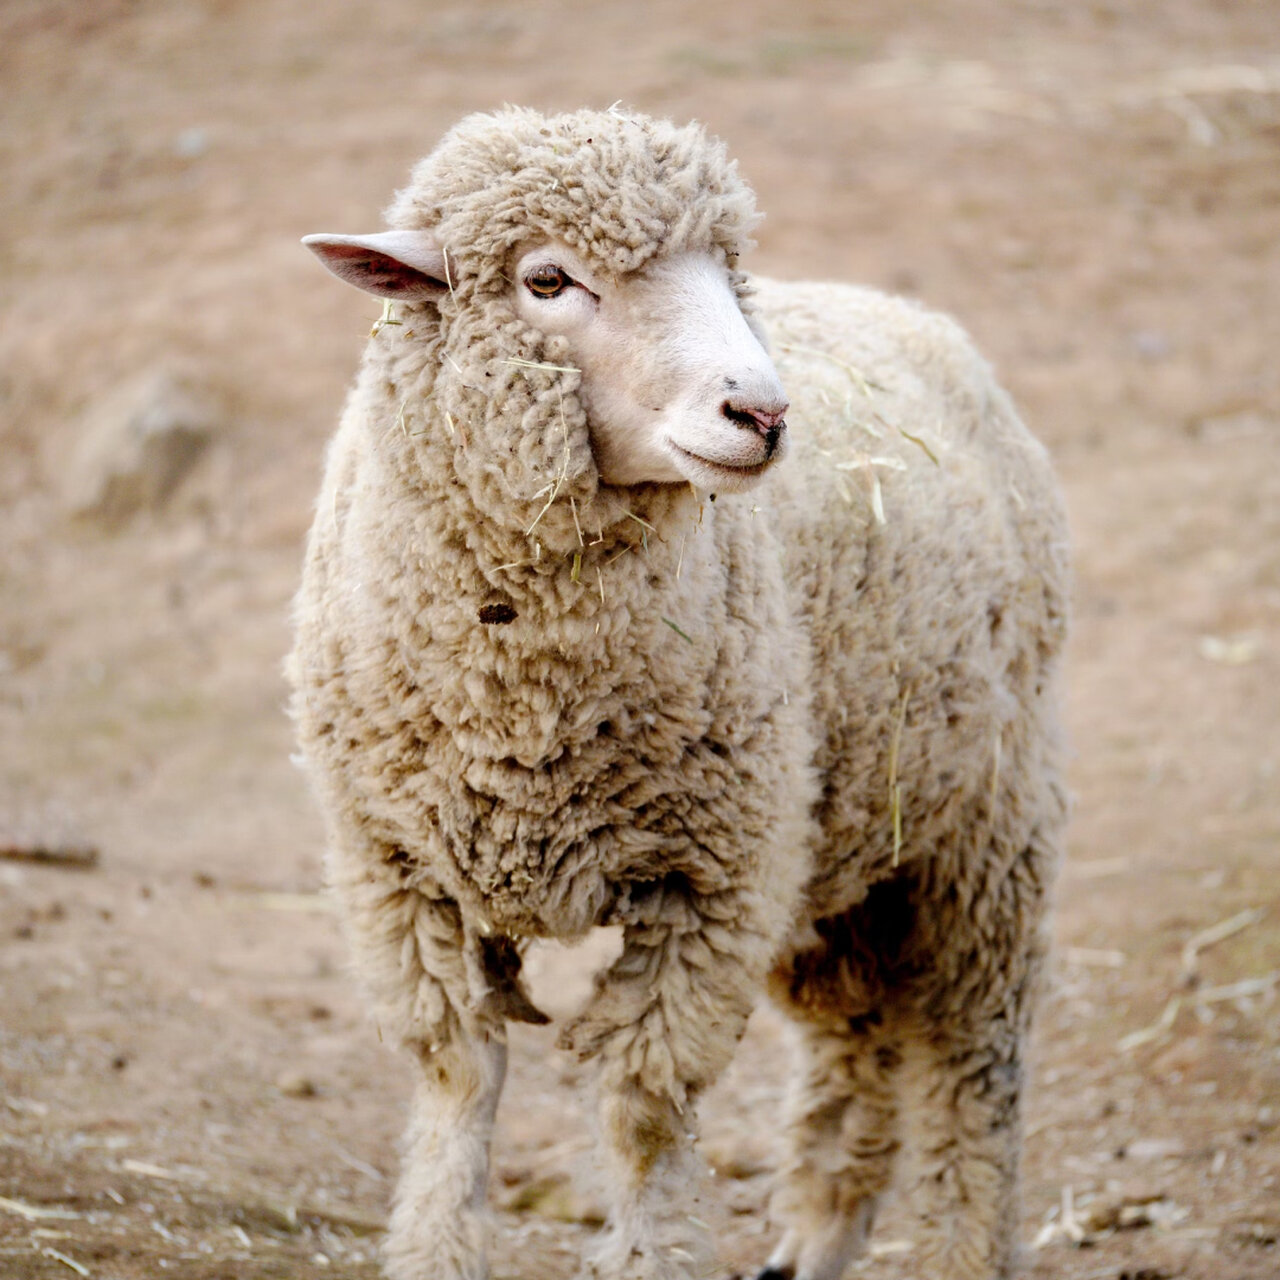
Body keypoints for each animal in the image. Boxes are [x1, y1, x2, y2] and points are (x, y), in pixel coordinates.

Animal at [287, 105, 1069, 1280]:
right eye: (547, 278)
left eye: (724, 272)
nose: (763, 411)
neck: (527, 720)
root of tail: (908, 311)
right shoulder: (402, 874)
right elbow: (457, 1083)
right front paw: (435, 1247)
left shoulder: (711, 882)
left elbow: (642, 1111)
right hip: (837, 847)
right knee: (859, 1046)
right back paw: (814, 1236)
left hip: (980, 830)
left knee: (972, 1063)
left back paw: (958, 1245)